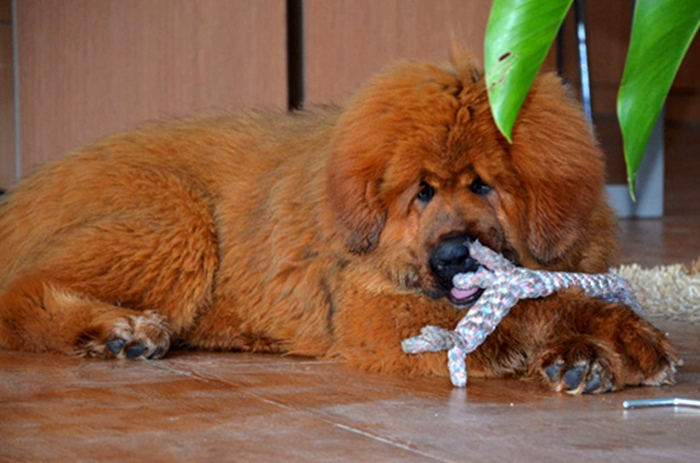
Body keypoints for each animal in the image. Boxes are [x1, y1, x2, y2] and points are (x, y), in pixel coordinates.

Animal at [0, 54, 680, 396]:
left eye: (483, 184)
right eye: (421, 192)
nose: (455, 257)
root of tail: (28, 191)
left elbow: (546, 298)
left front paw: (593, 353)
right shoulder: (376, 314)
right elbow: (527, 307)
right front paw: (613, 338)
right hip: (178, 218)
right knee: (18, 295)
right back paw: (118, 328)